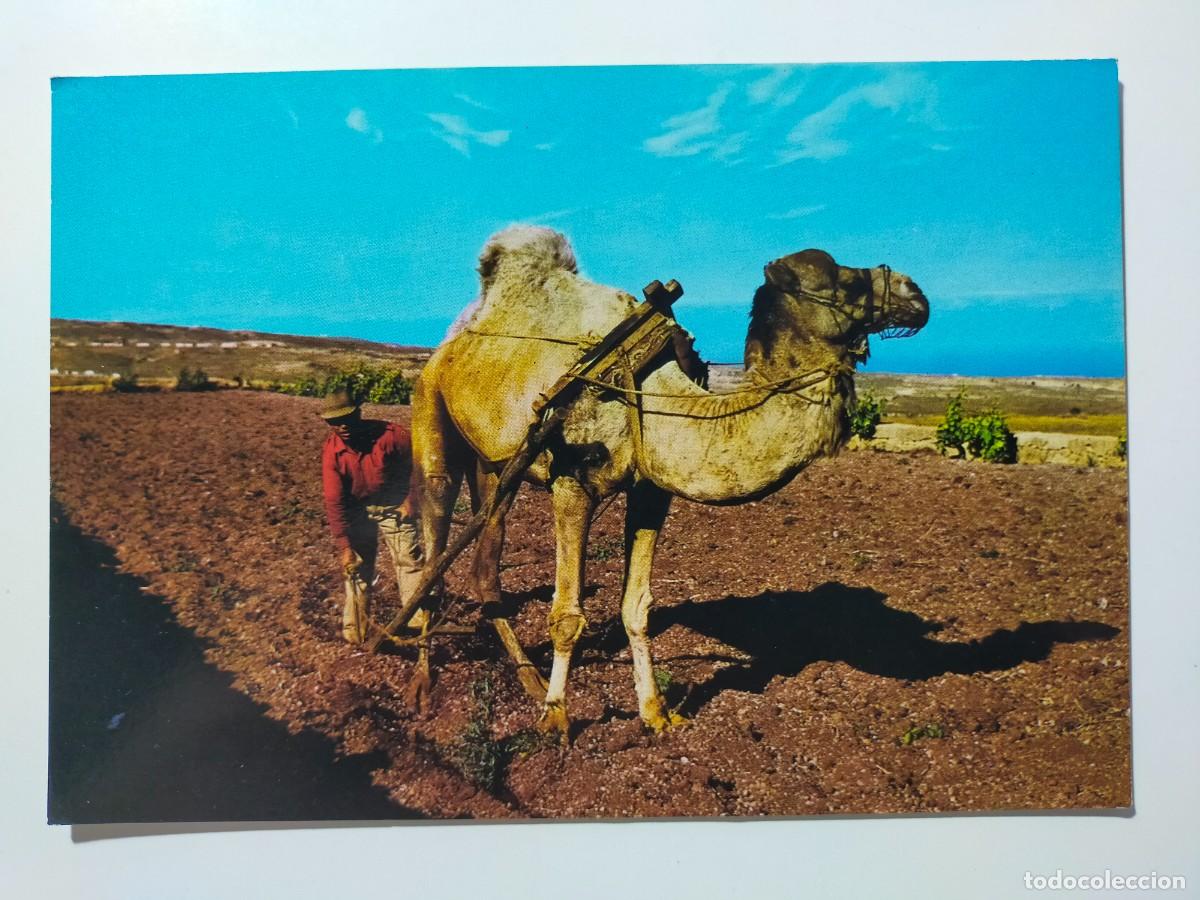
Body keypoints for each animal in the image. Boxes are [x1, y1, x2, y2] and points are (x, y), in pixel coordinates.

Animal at [411, 225, 929, 738]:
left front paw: (655, 712)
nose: (916, 293)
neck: (643, 387)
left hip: (497, 464)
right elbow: (567, 615)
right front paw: (556, 717)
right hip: (430, 406)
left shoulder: (650, 490)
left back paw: (529, 679)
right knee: (433, 542)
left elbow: (637, 606)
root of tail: (454, 340)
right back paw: (423, 683)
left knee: (485, 561)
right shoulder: (572, 484)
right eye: (848, 282)